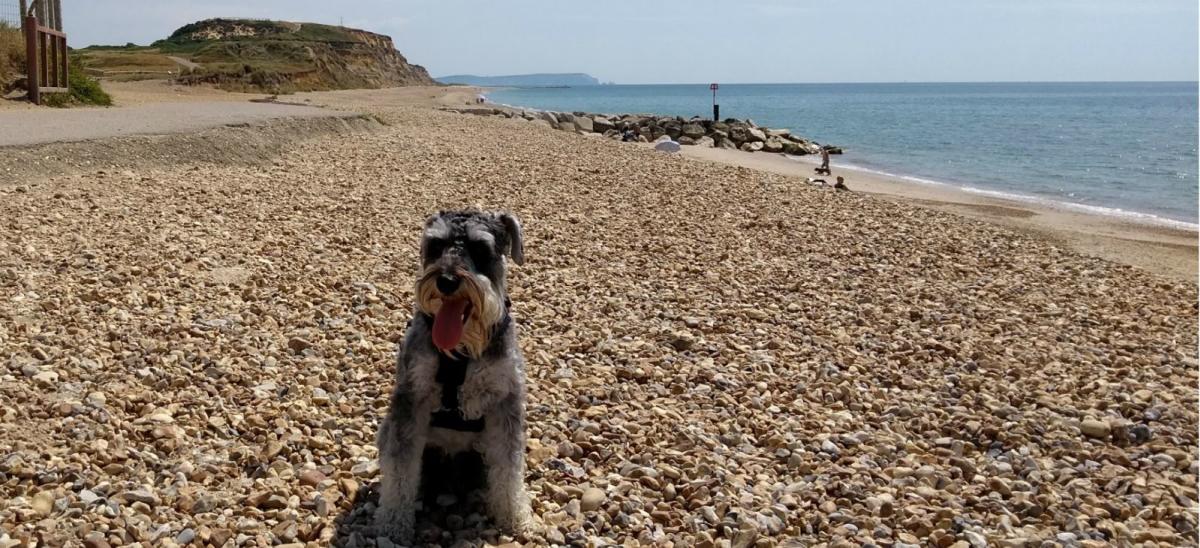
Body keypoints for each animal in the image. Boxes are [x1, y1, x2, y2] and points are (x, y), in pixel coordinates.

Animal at [372, 208, 528, 537]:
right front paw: (392, 521)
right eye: (435, 245)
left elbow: (508, 468)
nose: (446, 280)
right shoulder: (411, 397)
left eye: (481, 249)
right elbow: (401, 467)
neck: (461, 352)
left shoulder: (505, 400)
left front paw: (513, 516)